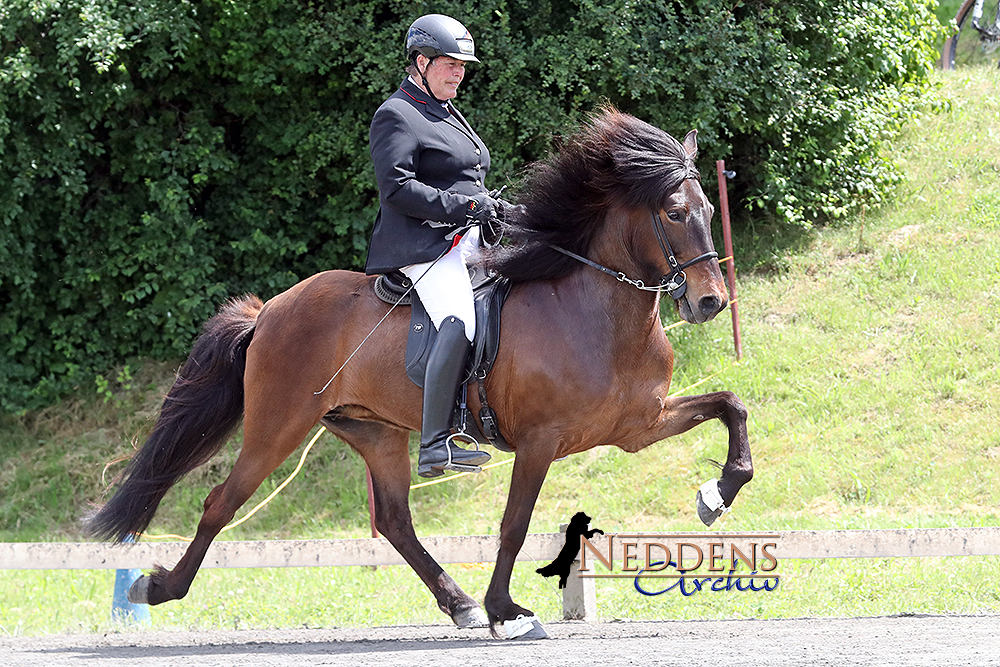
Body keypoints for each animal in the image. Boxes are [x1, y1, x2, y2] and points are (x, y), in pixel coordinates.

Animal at [88, 108, 752, 640]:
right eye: (674, 213)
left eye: (707, 210)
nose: (709, 302)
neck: (598, 310)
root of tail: (270, 310)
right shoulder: (540, 441)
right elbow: (514, 525)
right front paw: (507, 610)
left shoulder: (637, 426)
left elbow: (731, 405)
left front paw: (716, 495)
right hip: (278, 427)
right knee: (221, 502)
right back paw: (156, 588)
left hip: (374, 431)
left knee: (395, 521)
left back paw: (458, 604)